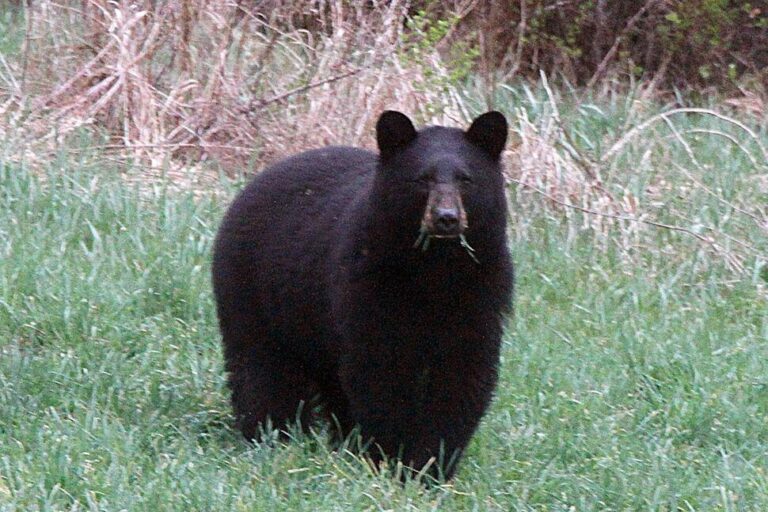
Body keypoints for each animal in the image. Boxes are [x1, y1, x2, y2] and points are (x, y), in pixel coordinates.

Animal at [212, 110, 514, 480]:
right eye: (422, 179)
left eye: (466, 180)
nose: (446, 218)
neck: (434, 271)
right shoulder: (369, 286)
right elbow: (378, 372)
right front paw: (389, 458)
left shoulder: (481, 294)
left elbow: (462, 377)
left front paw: (431, 466)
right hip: (253, 291)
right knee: (261, 368)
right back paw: (271, 434)